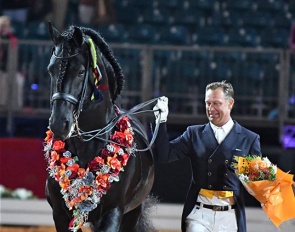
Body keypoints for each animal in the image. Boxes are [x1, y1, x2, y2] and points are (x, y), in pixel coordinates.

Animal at [44, 23, 155, 232]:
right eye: (50, 70)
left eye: (80, 71)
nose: (59, 124)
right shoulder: (60, 214)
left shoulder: (113, 212)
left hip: (132, 214)